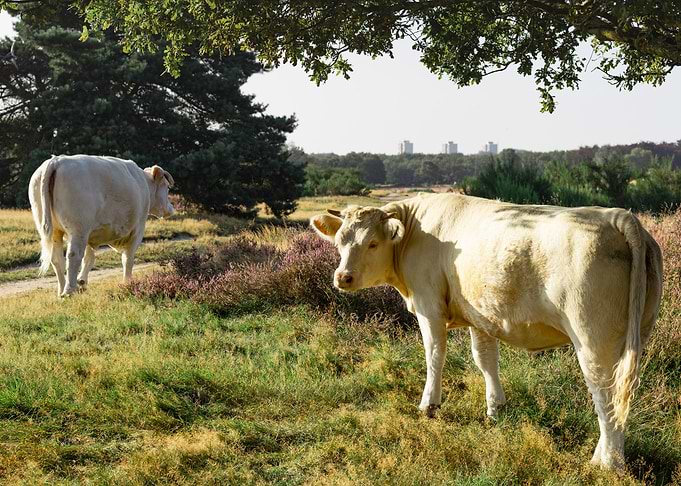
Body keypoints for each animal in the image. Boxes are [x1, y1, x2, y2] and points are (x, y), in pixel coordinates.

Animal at [28, 155, 175, 297]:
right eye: (167, 187)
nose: (171, 208)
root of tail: (57, 160)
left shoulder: (91, 233)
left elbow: (89, 258)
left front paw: (82, 281)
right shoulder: (137, 231)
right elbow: (127, 259)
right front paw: (128, 283)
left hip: (54, 230)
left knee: (57, 259)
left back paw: (62, 290)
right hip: (78, 229)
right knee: (73, 255)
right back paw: (69, 291)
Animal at [310, 193, 663, 470]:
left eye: (372, 243)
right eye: (340, 242)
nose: (343, 277)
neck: (417, 231)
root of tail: (618, 217)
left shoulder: (428, 305)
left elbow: (434, 354)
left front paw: (429, 405)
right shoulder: (480, 314)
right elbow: (485, 360)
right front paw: (495, 409)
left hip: (592, 338)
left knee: (605, 392)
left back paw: (606, 463)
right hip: (637, 334)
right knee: (620, 392)